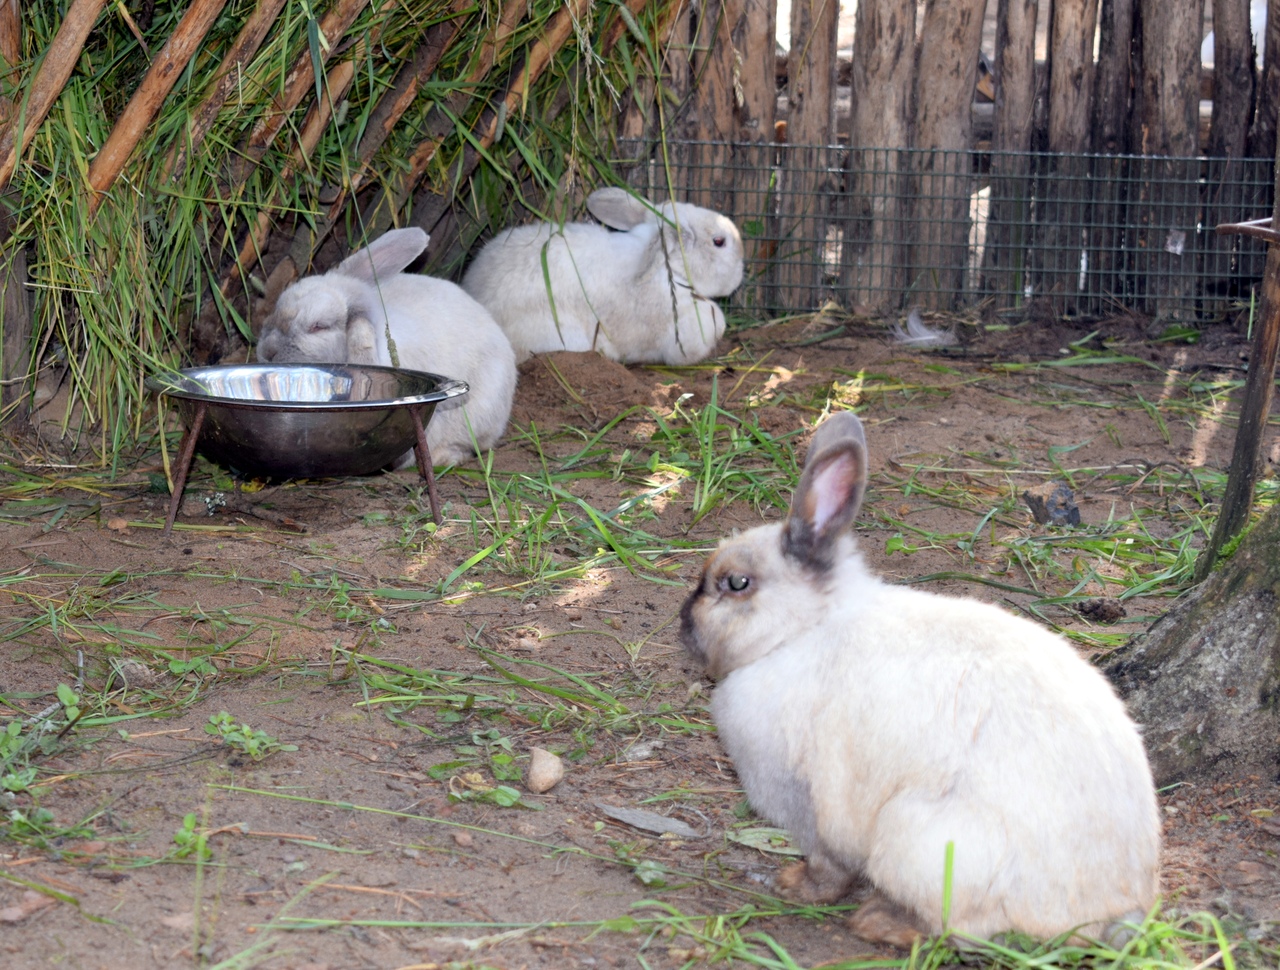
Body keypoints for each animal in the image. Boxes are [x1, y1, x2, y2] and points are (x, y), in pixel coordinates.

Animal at [680, 409, 1162, 952]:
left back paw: (876, 921)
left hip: (916, 839)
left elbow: (829, 868)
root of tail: (1111, 910)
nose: (683, 621)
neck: (801, 631)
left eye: (736, 584)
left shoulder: (814, 804)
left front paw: (794, 887)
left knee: (956, 927)